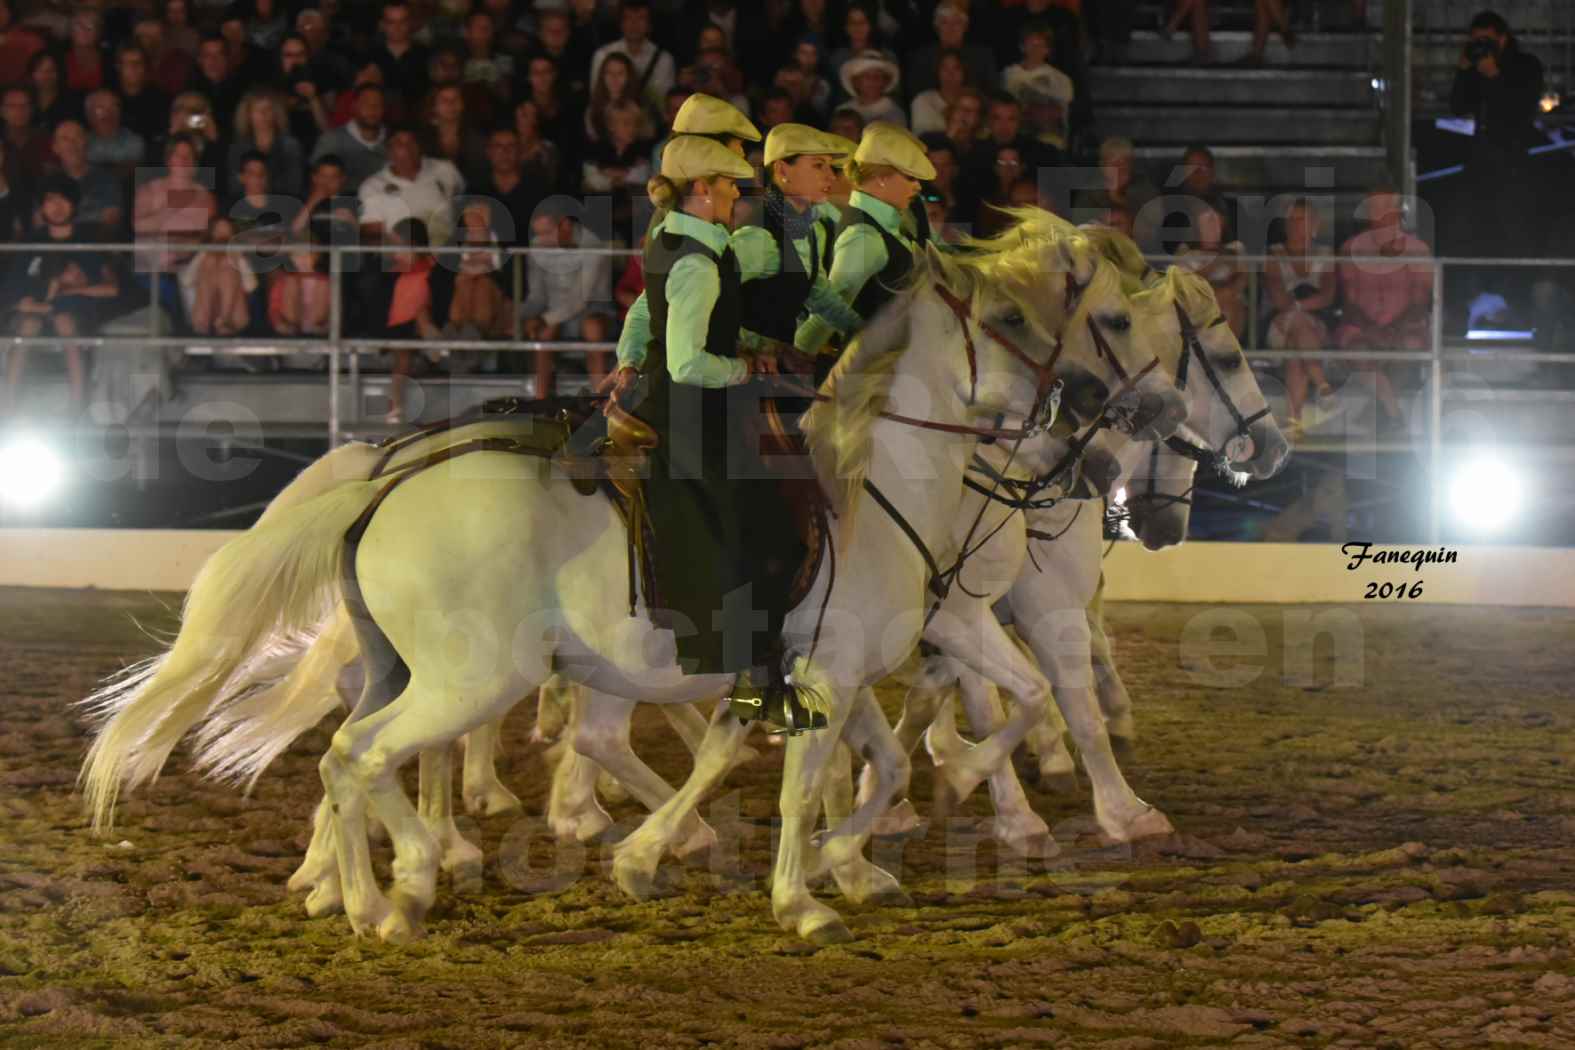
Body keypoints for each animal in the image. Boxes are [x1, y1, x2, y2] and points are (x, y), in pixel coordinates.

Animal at [76, 214, 1184, 944]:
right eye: (1022, 319)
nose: (1115, 411)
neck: (881, 483)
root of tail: (383, 483)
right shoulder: (831, 674)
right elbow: (812, 783)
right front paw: (802, 894)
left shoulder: (836, 672)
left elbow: (879, 763)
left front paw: (836, 863)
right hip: (473, 679)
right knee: (363, 757)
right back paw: (401, 890)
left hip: (407, 670)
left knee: (353, 759)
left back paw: (370, 890)